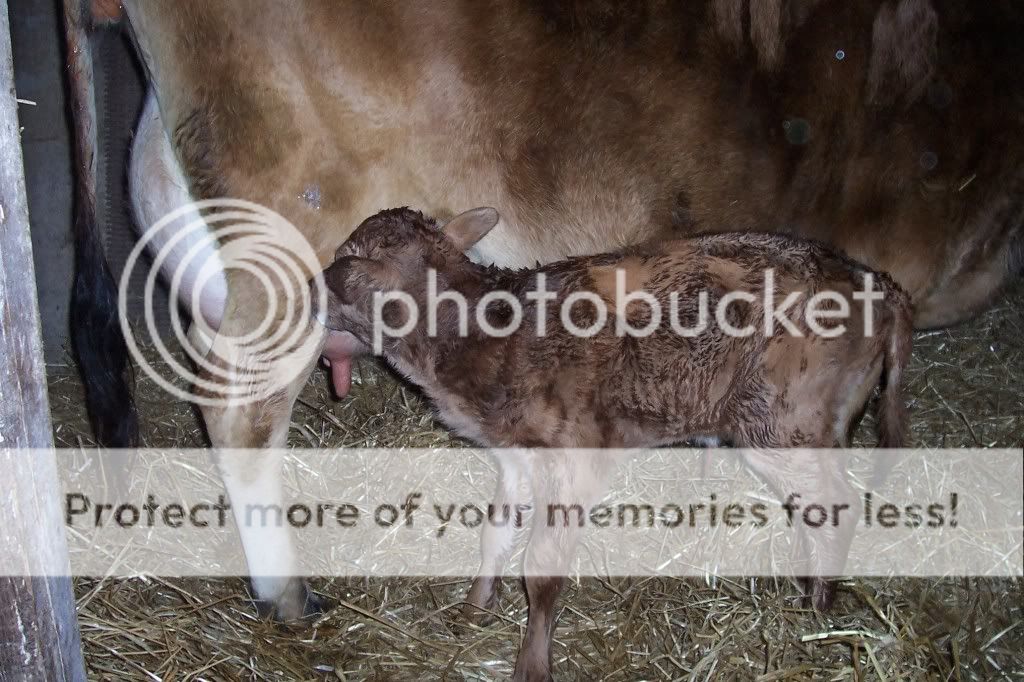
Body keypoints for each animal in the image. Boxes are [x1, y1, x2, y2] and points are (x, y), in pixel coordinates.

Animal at [317, 205, 913, 681]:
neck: (475, 335)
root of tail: (878, 282)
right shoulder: (513, 454)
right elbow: (494, 535)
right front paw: (474, 609)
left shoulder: (574, 454)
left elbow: (542, 568)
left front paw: (532, 664)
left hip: (784, 422)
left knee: (837, 504)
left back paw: (816, 611)